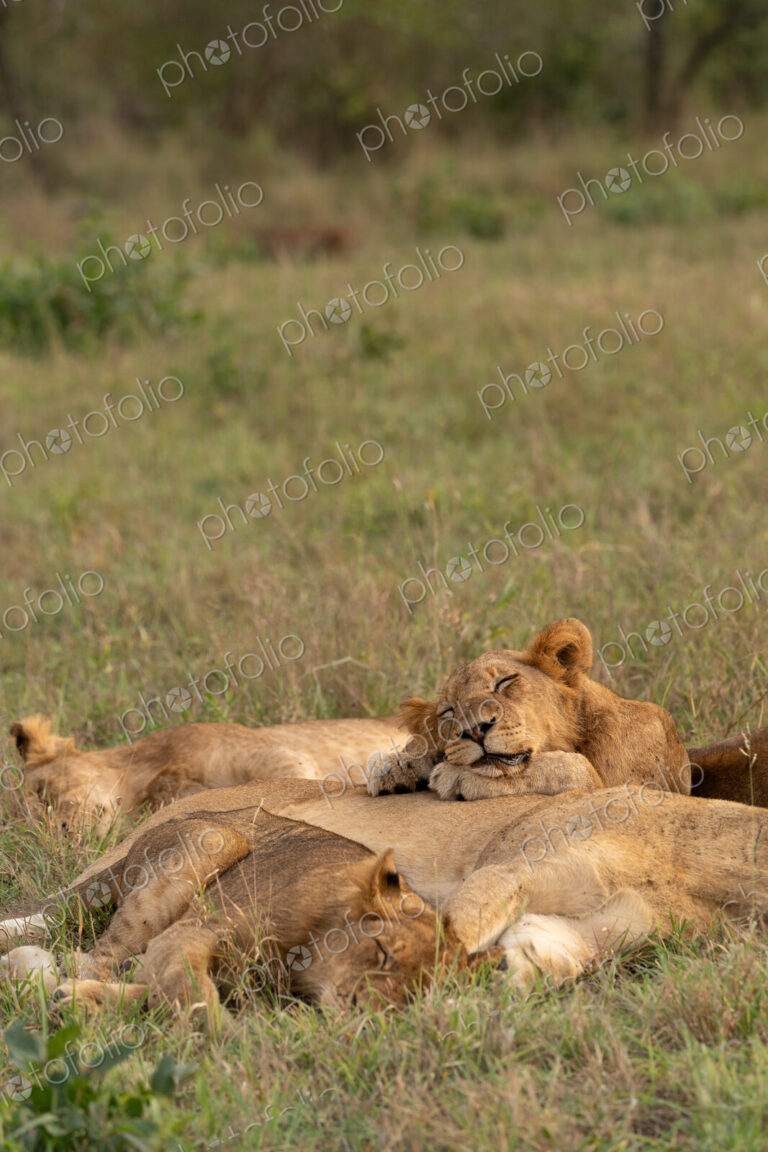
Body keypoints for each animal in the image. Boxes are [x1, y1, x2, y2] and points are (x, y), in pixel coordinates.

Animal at [0, 805, 486, 1028]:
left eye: (417, 995)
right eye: (382, 953)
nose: (361, 1015)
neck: (311, 966)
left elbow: (156, 991)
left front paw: (81, 1002)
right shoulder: (197, 931)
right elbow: (186, 986)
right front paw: (227, 1034)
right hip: (215, 841)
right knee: (94, 955)